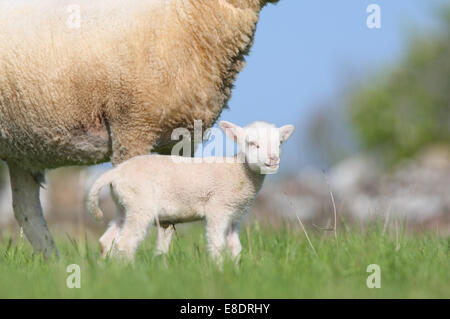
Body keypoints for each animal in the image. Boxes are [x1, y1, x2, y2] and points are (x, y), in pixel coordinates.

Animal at [87, 121, 296, 262]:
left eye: (280, 143)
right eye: (252, 143)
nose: (273, 159)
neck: (238, 169)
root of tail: (116, 172)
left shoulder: (234, 216)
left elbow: (235, 248)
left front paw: (235, 271)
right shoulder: (218, 208)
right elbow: (217, 245)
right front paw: (219, 270)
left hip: (124, 206)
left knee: (106, 241)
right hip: (140, 204)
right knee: (125, 244)